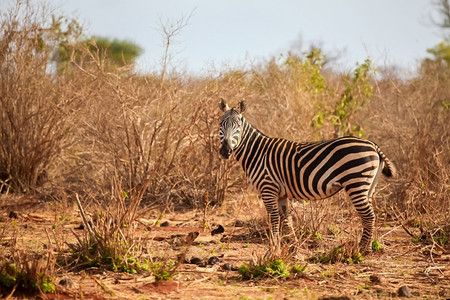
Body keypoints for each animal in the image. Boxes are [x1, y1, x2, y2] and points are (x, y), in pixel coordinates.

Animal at [219, 99, 398, 254]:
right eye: (221, 124)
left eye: (237, 126)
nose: (225, 151)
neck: (257, 153)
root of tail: (373, 144)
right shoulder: (281, 194)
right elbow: (287, 220)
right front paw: (292, 247)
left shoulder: (268, 188)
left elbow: (274, 219)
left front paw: (274, 248)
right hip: (368, 187)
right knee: (370, 216)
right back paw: (367, 248)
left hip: (356, 183)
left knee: (368, 216)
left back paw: (361, 250)